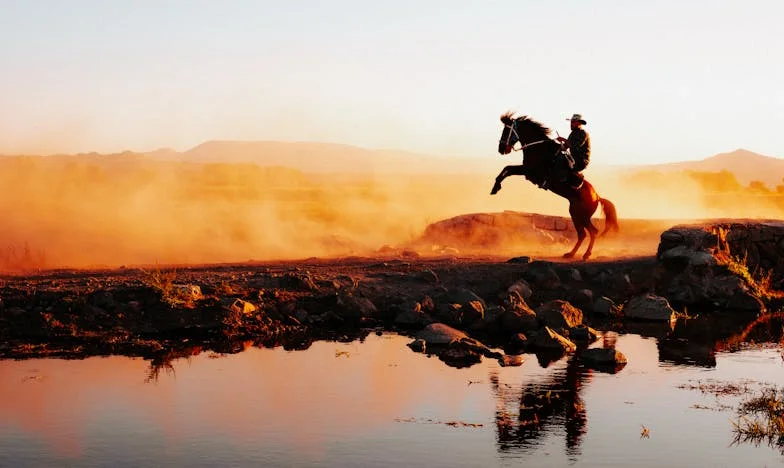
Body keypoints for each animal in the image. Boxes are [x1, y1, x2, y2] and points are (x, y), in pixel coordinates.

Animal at [490, 112, 620, 262]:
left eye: (506, 131)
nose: (501, 149)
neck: (539, 149)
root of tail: (597, 197)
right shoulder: (526, 170)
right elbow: (507, 169)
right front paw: (495, 187)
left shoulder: (530, 172)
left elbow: (508, 169)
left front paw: (495, 187)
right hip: (575, 214)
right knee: (582, 234)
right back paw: (570, 254)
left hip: (582, 216)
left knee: (593, 231)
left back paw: (586, 254)